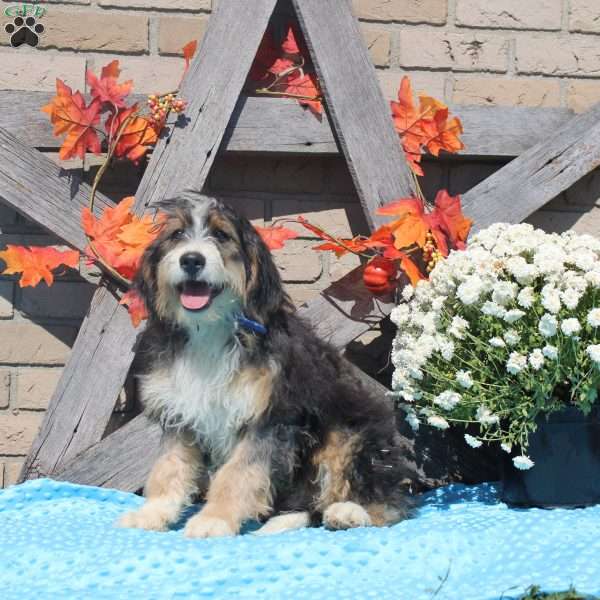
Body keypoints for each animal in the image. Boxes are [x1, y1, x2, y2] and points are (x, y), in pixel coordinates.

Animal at [120, 192, 412, 540]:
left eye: (221, 235)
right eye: (177, 234)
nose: (191, 260)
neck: (211, 329)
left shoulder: (269, 418)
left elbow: (237, 474)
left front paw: (214, 519)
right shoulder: (181, 414)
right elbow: (168, 467)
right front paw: (152, 513)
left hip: (348, 433)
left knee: (385, 504)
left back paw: (349, 512)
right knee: (304, 504)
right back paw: (279, 524)